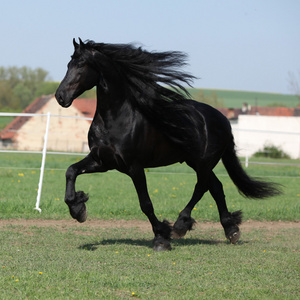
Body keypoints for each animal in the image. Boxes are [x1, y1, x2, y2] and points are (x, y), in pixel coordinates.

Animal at [54, 39, 282, 251]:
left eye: (80, 65)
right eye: (68, 64)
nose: (60, 97)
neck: (117, 119)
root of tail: (223, 119)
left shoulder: (134, 167)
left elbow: (146, 204)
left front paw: (161, 237)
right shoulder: (102, 161)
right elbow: (70, 171)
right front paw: (78, 208)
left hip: (203, 162)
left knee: (202, 187)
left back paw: (181, 225)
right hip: (196, 162)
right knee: (215, 187)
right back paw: (230, 229)